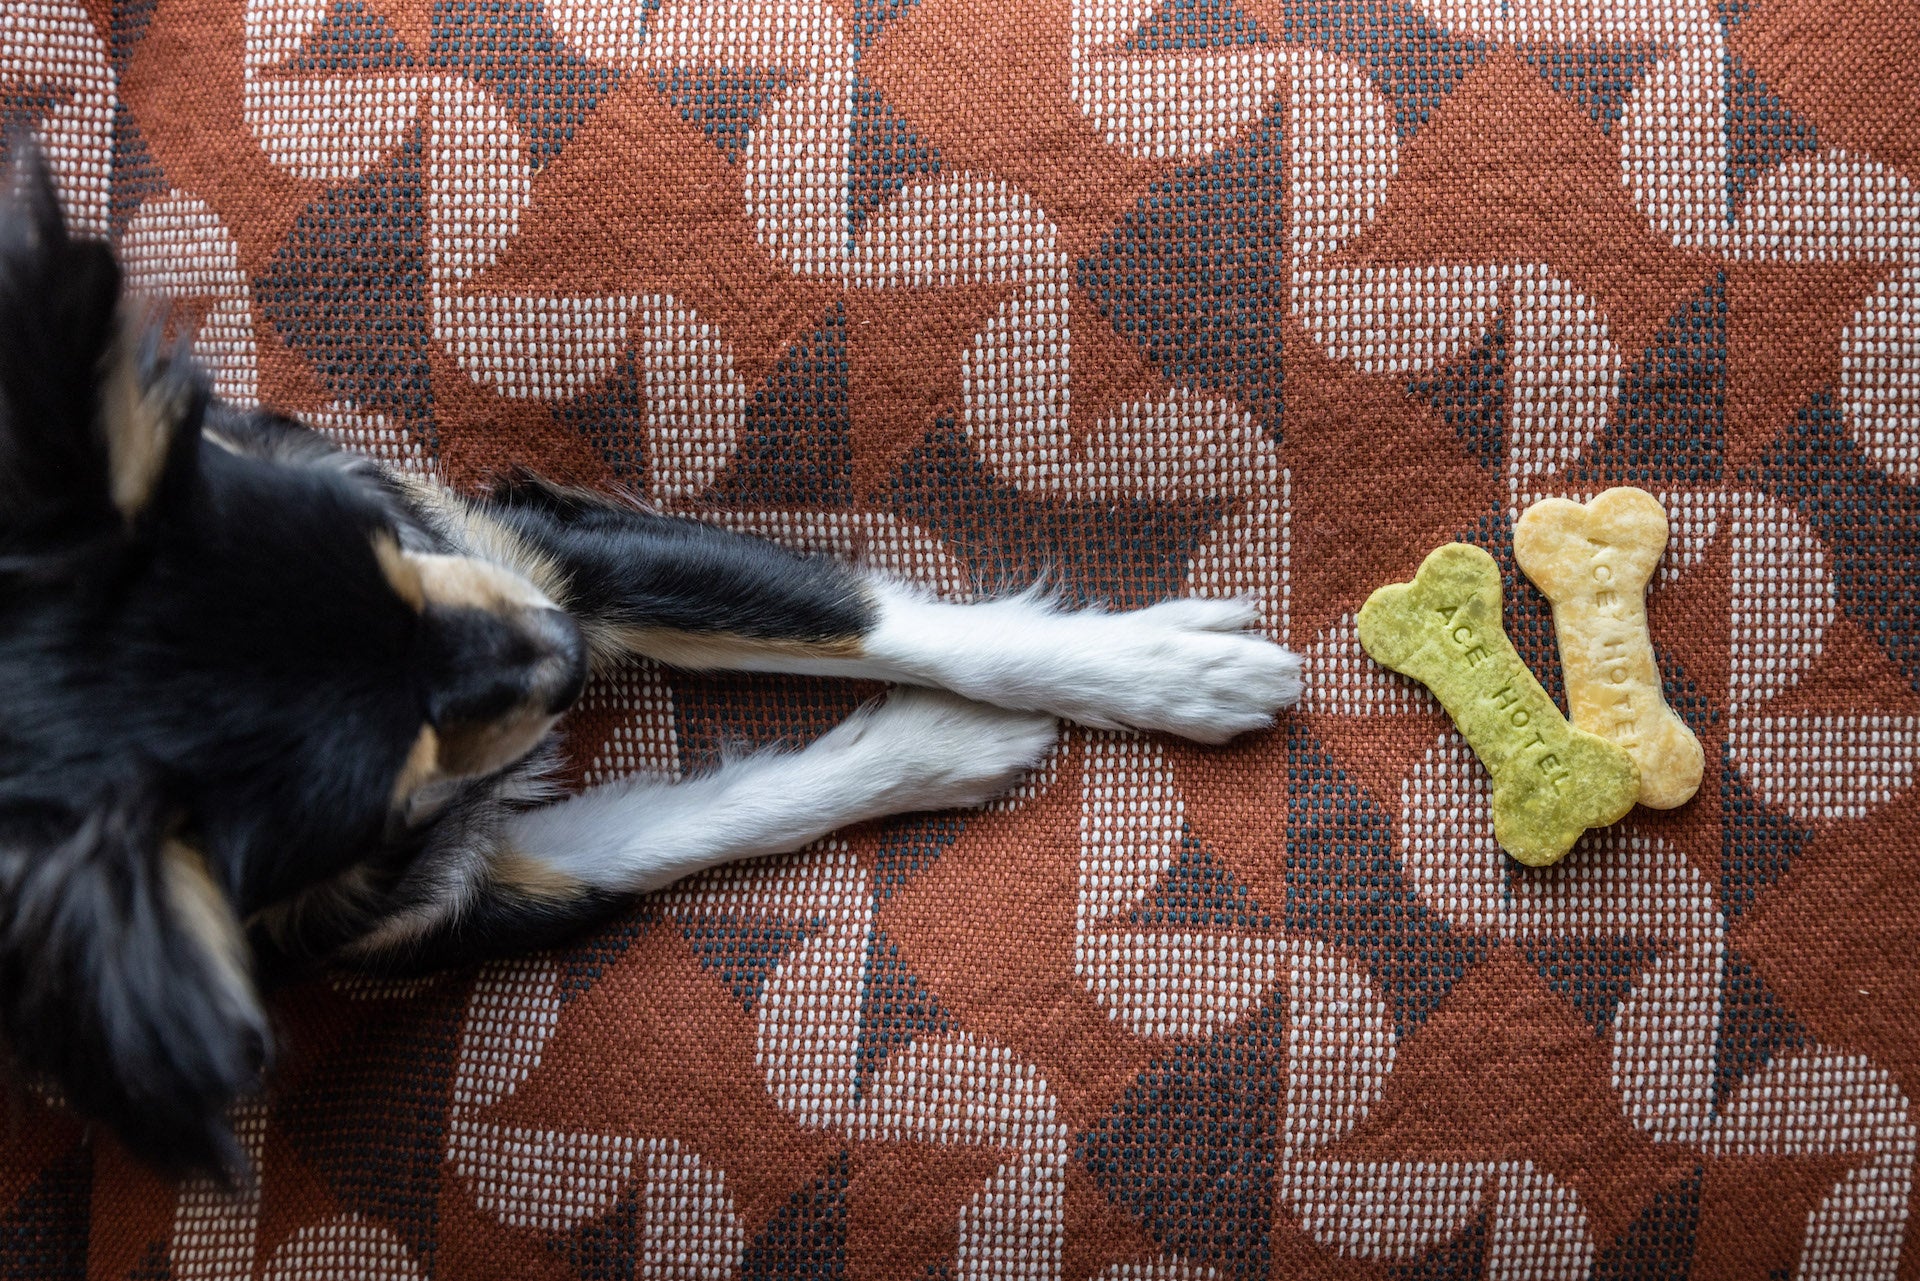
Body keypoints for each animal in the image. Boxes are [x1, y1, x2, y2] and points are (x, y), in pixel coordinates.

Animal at [0, 150, 1305, 1175]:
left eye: (382, 536)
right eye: (383, 784)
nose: (578, 657)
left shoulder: (538, 546)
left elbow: (860, 616)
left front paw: (1156, 673)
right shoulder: (436, 903)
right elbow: (688, 828)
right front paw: (940, 741)